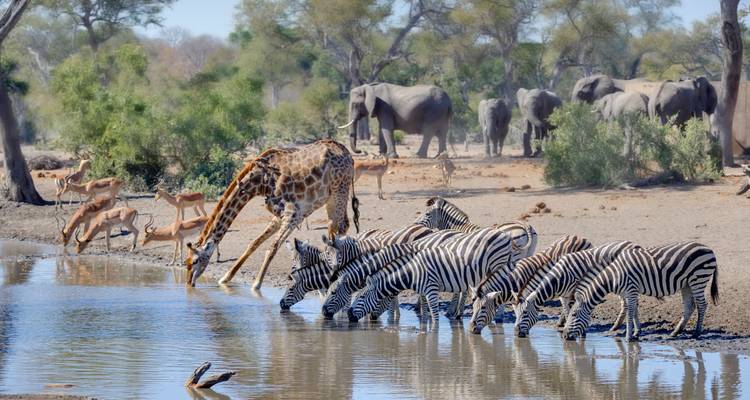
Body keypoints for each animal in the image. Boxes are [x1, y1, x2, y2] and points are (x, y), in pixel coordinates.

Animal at [185, 139, 360, 290]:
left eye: (194, 261)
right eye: (186, 261)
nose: (188, 283)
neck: (259, 183)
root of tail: (348, 154)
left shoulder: (293, 214)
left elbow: (272, 247)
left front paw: (256, 285)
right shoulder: (279, 215)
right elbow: (254, 243)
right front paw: (225, 278)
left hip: (339, 189)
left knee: (340, 225)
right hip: (330, 197)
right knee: (336, 226)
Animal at [348, 226, 523, 325]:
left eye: (361, 297)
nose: (349, 315)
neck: (412, 272)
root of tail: (504, 234)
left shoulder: (431, 289)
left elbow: (434, 317)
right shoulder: (424, 291)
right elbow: (425, 313)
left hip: (498, 265)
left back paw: (497, 317)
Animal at [563, 242, 719, 341]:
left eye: (574, 314)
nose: (564, 335)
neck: (614, 277)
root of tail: (709, 249)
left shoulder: (631, 289)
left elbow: (630, 312)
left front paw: (628, 337)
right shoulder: (628, 293)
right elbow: (634, 311)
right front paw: (636, 333)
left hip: (698, 278)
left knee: (702, 305)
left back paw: (696, 333)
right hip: (686, 284)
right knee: (689, 306)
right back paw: (675, 333)